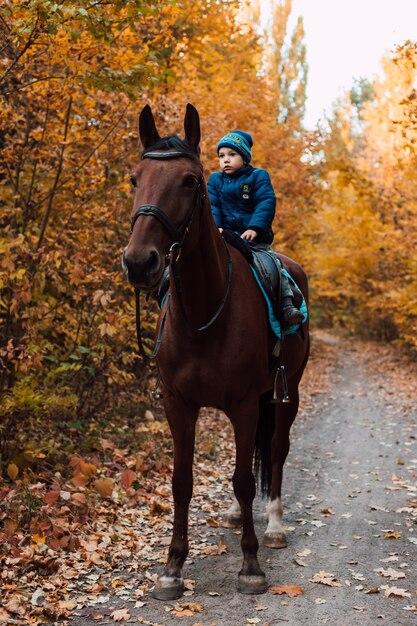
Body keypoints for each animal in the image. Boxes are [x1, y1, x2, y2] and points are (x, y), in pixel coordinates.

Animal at [122, 103, 308, 600]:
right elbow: (182, 481)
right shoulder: (178, 404)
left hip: (285, 394)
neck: (204, 313)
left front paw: (251, 564)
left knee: (276, 452)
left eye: (189, 180)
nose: (139, 262)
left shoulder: (245, 402)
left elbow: (245, 478)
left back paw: (274, 526)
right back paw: (235, 515)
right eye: (135, 178)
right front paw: (172, 568)